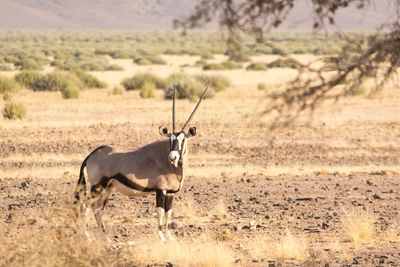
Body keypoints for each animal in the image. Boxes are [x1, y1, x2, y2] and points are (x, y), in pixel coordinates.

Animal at [74, 85, 209, 243]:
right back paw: (87, 237)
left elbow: (168, 212)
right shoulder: (160, 189)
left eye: (183, 140)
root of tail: (91, 155)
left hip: (107, 187)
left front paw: (169, 236)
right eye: (170, 139)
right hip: (97, 185)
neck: (175, 168)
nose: (172, 157)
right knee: (87, 206)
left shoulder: (170, 193)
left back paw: (106, 238)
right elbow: (160, 211)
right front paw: (161, 237)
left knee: (98, 208)